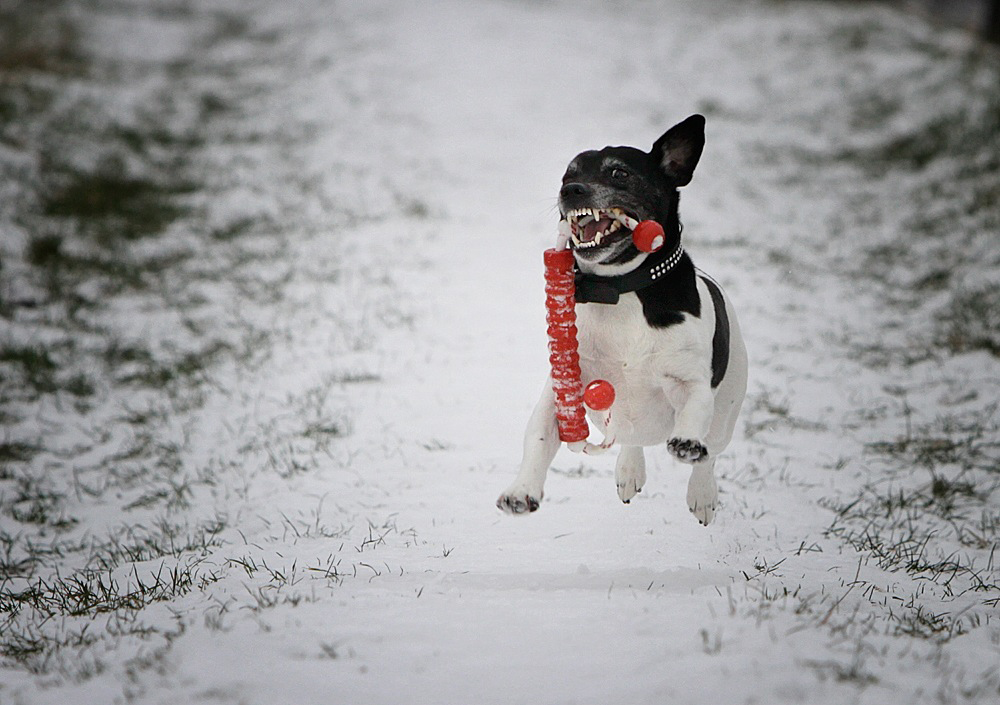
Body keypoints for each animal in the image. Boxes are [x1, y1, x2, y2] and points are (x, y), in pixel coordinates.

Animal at [496, 114, 748, 524]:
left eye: (619, 173)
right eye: (569, 173)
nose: (571, 190)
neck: (620, 288)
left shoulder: (689, 381)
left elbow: (695, 411)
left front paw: (686, 443)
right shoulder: (564, 387)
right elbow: (538, 436)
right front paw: (521, 491)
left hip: (727, 410)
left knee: (710, 453)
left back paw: (702, 494)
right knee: (631, 439)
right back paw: (630, 471)